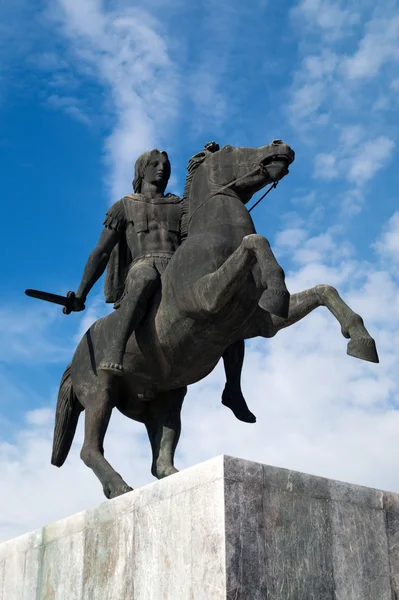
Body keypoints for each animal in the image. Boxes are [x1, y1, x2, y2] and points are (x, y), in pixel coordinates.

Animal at [51, 139, 380, 496]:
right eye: (231, 149)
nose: (281, 145)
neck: (215, 236)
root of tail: (76, 356)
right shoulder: (206, 298)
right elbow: (255, 241)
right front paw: (277, 288)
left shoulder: (259, 323)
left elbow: (323, 290)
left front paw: (361, 340)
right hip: (101, 393)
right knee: (90, 449)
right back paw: (120, 486)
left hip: (167, 398)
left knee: (159, 459)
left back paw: (180, 472)